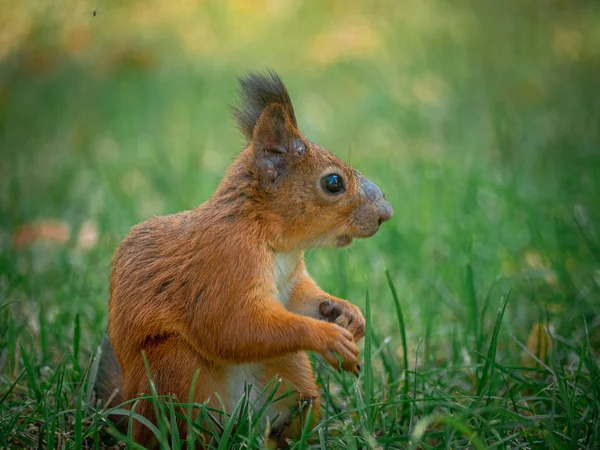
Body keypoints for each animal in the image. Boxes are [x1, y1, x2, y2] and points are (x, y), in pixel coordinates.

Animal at [95, 71, 392, 446]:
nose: (386, 213)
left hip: (292, 373)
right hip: (172, 368)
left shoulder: (291, 281)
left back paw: (284, 435)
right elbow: (231, 326)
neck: (271, 240)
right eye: (333, 183)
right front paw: (328, 337)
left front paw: (348, 314)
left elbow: (299, 300)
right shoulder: (223, 262)